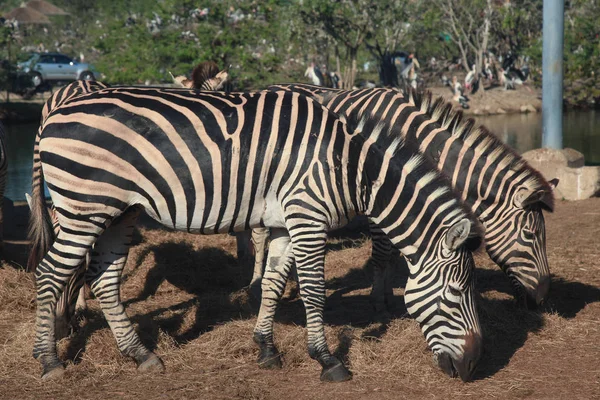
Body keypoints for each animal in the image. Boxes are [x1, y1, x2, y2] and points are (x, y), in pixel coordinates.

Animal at [30, 86, 486, 382]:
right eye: (456, 294)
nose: (472, 367)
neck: (349, 167)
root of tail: (56, 110)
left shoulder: (285, 221)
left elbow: (272, 283)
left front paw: (266, 348)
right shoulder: (309, 216)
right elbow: (313, 291)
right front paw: (327, 360)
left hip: (119, 212)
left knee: (103, 279)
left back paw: (141, 355)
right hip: (85, 207)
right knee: (50, 274)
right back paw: (49, 362)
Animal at [266, 84, 556, 310]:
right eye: (530, 235)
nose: (542, 300)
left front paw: (387, 292)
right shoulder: (379, 197)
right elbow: (382, 253)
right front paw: (378, 301)